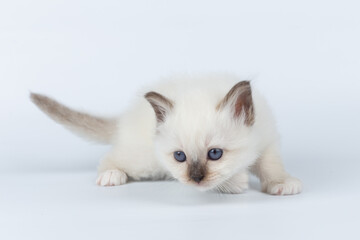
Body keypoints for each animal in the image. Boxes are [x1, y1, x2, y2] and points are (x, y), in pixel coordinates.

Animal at [31, 73, 302, 195]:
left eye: (215, 153)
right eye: (179, 157)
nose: (195, 179)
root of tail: (126, 116)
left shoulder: (266, 138)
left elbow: (270, 165)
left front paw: (282, 183)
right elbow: (226, 180)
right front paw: (238, 182)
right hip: (144, 161)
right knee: (111, 158)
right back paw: (110, 176)